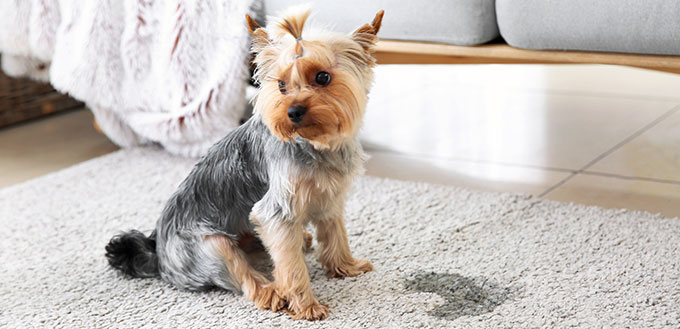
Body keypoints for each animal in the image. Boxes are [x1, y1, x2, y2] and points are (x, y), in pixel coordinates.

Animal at [105, 8, 382, 320]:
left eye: (323, 77)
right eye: (281, 85)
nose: (293, 112)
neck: (314, 144)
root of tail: (159, 255)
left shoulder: (331, 197)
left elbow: (336, 234)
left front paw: (345, 266)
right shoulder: (276, 212)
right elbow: (291, 266)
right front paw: (306, 305)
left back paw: (299, 242)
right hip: (211, 245)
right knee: (243, 275)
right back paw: (272, 292)